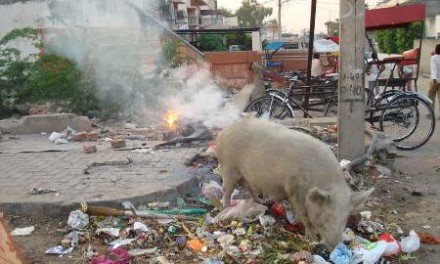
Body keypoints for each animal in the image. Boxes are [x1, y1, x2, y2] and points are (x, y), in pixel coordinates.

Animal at [215, 116, 372, 249]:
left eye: (345, 219)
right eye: (326, 217)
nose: (337, 246)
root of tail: (224, 131)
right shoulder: (294, 189)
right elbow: (304, 215)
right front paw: (312, 237)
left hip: (245, 176)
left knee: (249, 188)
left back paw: (262, 202)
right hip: (229, 167)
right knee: (226, 190)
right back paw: (226, 209)